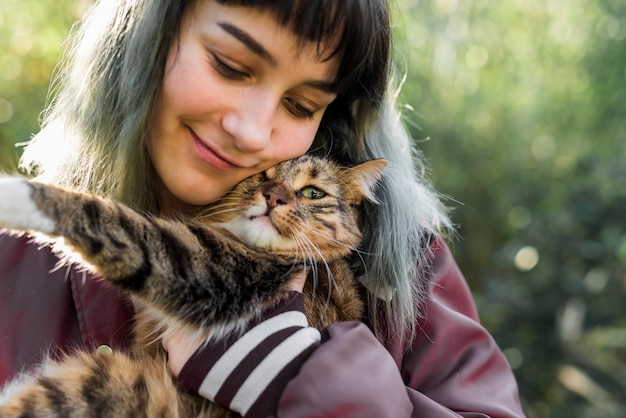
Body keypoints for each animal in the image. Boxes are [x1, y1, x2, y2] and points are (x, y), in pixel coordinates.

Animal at [0, 154, 386, 418]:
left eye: (312, 192)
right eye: (263, 175)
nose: (273, 196)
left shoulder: (203, 266)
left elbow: (108, 217)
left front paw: (14, 195)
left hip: (108, 381)